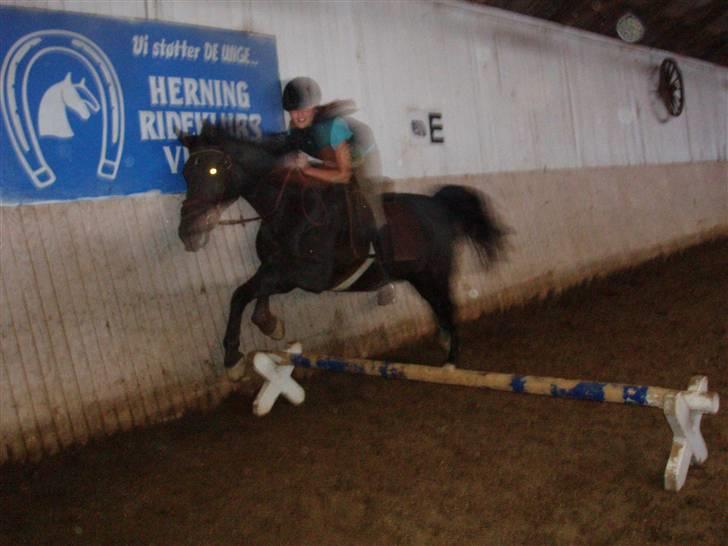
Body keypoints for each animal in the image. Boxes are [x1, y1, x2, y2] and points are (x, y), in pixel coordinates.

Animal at [176, 125, 506, 372]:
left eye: (214, 171)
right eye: (186, 174)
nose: (187, 232)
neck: (288, 209)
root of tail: (439, 204)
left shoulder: (308, 276)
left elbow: (243, 292)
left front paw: (233, 358)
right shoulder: (275, 266)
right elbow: (254, 292)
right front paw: (271, 325)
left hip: (435, 273)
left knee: (448, 305)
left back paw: (450, 362)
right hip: (419, 276)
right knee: (439, 306)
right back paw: (443, 341)